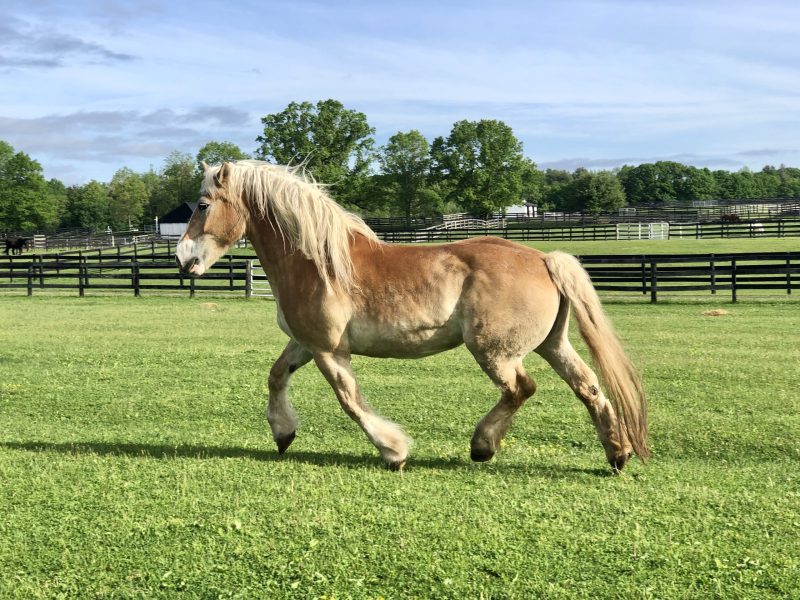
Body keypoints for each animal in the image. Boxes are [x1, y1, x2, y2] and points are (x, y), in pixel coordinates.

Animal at [175, 161, 649, 472]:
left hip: (495, 351)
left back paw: (482, 446)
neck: (317, 262)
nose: (183, 260)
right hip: (553, 344)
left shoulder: (329, 350)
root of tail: (543, 259)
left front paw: (394, 451)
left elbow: (349, 400)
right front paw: (283, 433)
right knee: (588, 387)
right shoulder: (304, 343)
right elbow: (275, 376)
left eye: (202, 205)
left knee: (521, 388)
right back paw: (617, 453)